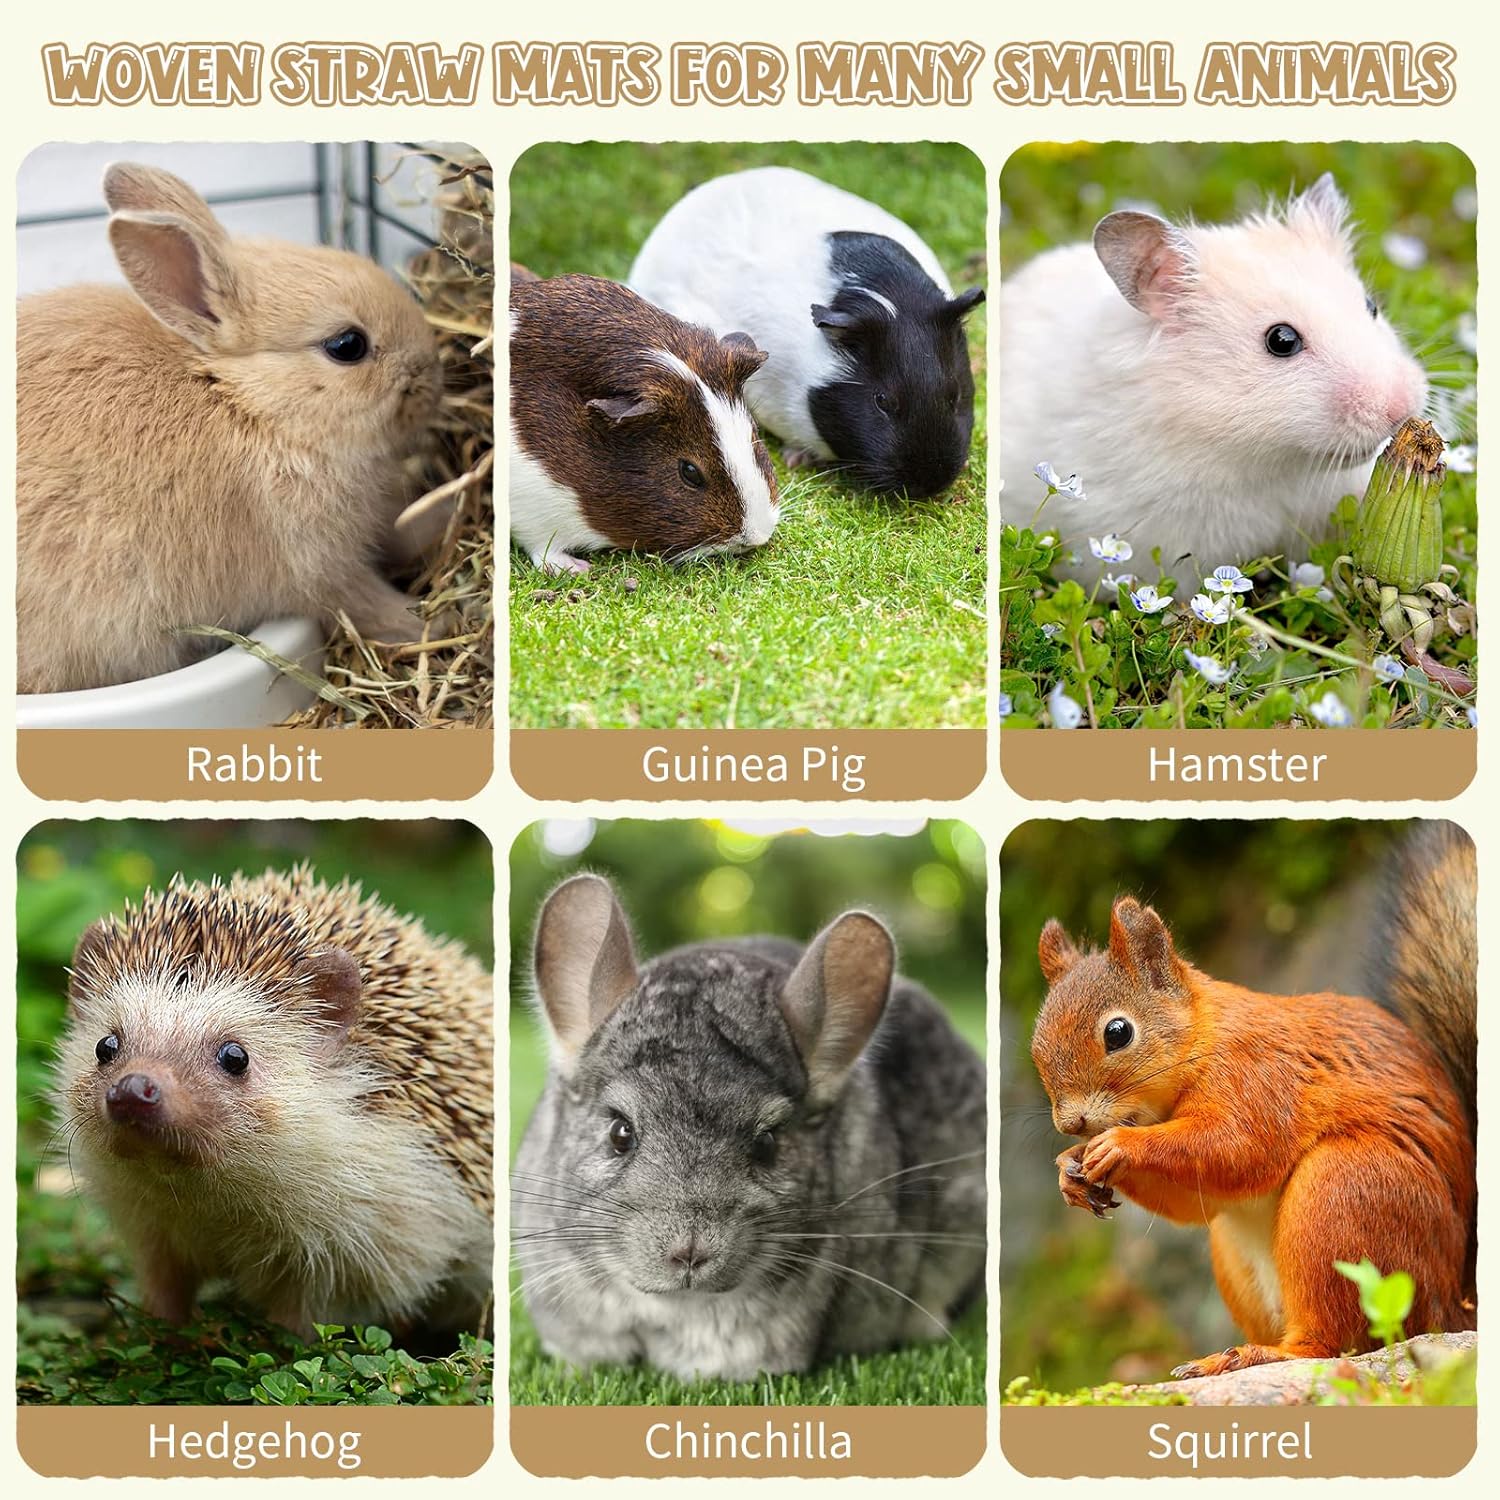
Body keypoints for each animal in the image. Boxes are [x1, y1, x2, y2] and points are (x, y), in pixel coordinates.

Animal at [17, 162, 442, 695]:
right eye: (347, 345)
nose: (433, 381)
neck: (247, 404)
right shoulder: (317, 567)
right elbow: (365, 602)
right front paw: (427, 623)